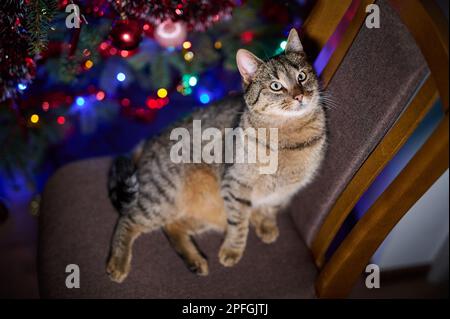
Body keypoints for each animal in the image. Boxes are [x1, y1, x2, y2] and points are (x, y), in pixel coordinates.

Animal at [106, 29, 326, 282]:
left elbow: (269, 207)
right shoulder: (235, 183)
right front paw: (232, 249)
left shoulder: (285, 190)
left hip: (198, 210)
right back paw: (118, 263)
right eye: (275, 85)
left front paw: (266, 224)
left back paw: (195, 261)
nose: (300, 96)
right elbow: (239, 224)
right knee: (128, 219)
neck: (290, 137)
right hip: (162, 197)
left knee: (171, 226)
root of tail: (149, 141)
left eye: (301, 76)